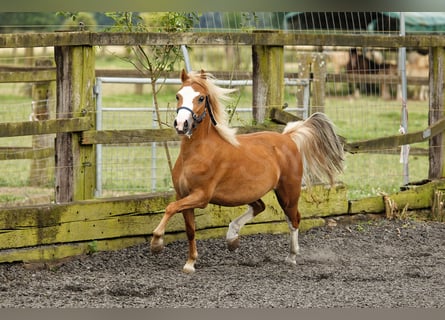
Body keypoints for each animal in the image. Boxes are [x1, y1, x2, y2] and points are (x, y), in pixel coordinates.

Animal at [149, 70, 344, 272]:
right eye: (178, 95)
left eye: (201, 98)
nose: (181, 124)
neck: (198, 153)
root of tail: (288, 138)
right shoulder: (183, 195)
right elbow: (189, 230)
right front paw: (190, 263)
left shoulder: (201, 196)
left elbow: (170, 208)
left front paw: (156, 243)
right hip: (251, 192)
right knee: (260, 207)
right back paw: (232, 238)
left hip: (288, 192)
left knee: (294, 219)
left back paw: (291, 257)